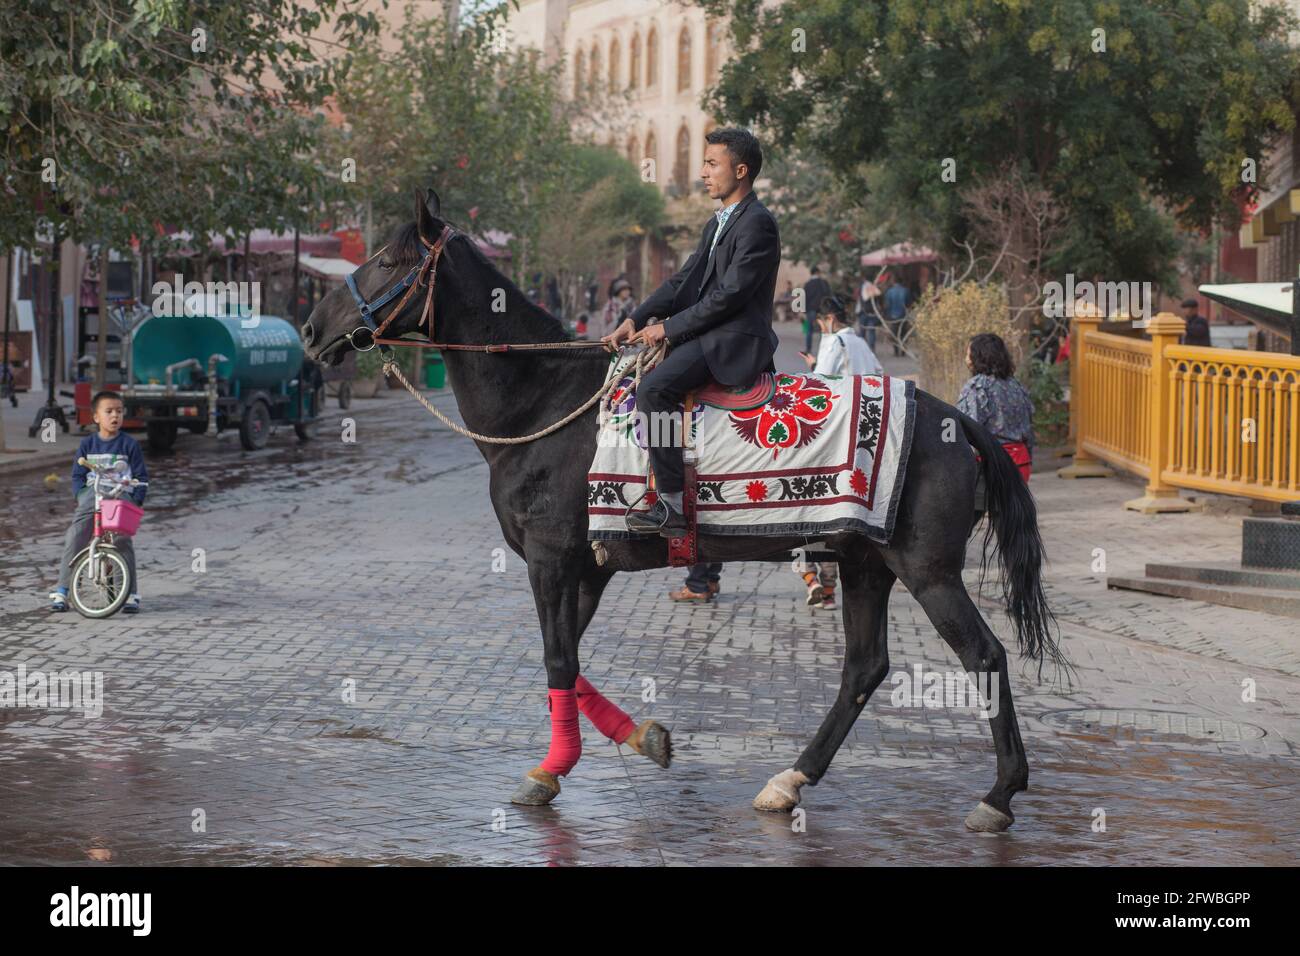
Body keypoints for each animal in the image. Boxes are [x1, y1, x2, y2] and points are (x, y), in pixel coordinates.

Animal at [304, 191, 1066, 832]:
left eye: (391, 259)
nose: (311, 329)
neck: (547, 402)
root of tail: (959, 423)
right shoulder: (585, 568)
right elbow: (566, 660)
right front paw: (638, 740)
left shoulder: (552, 560)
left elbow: (556, 659)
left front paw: (551, 771)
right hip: (864, 560)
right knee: (863, 668)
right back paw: (789, 780)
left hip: (926, 568)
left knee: (983, 655)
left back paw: (999, 796)